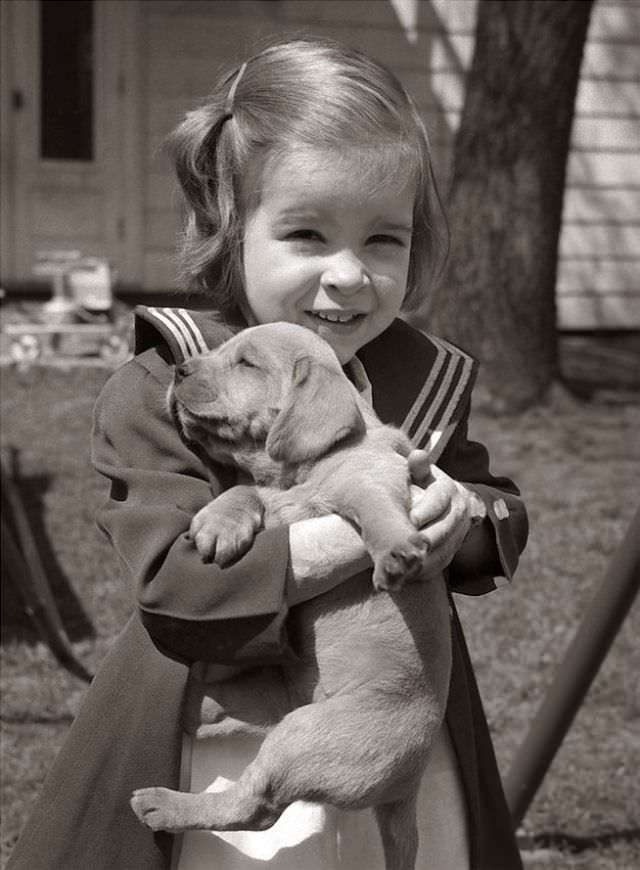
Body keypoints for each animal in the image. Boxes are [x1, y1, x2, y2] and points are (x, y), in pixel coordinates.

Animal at [131, 322, 450, 870]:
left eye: (246, 363)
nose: (178, 369)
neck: (302, 471)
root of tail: (405, 789)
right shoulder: (280, 496)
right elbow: (245, 492)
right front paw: (220, 520)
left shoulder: (370, 478)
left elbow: (378, 510)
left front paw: (396, 551)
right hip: (278, 707)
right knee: (218, 732)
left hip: (303, 737)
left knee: (255, 806)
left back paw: (162, 805)